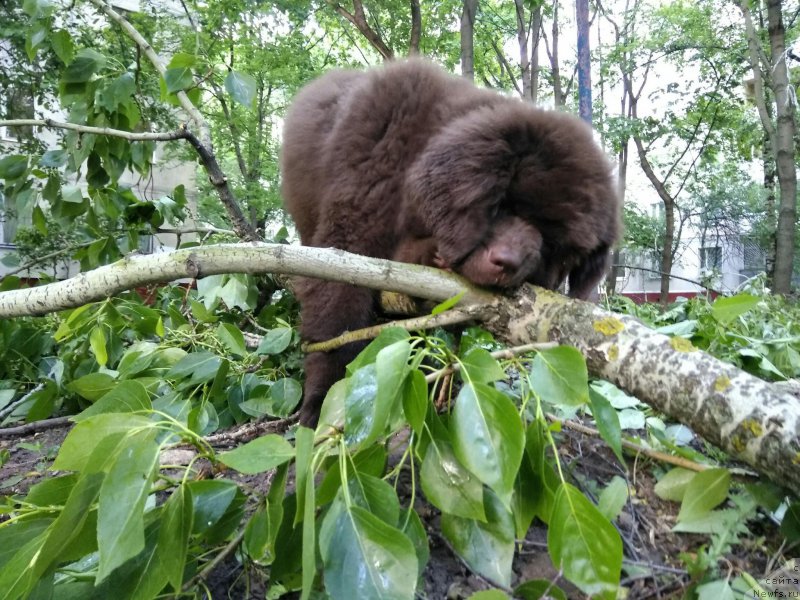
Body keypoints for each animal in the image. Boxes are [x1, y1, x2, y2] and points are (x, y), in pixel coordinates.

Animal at [284, 58, 620, 424]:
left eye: (553, 247)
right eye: (503, 205)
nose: (508, 262)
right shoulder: (352, 227)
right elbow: (337, 313)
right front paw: (323, 399)